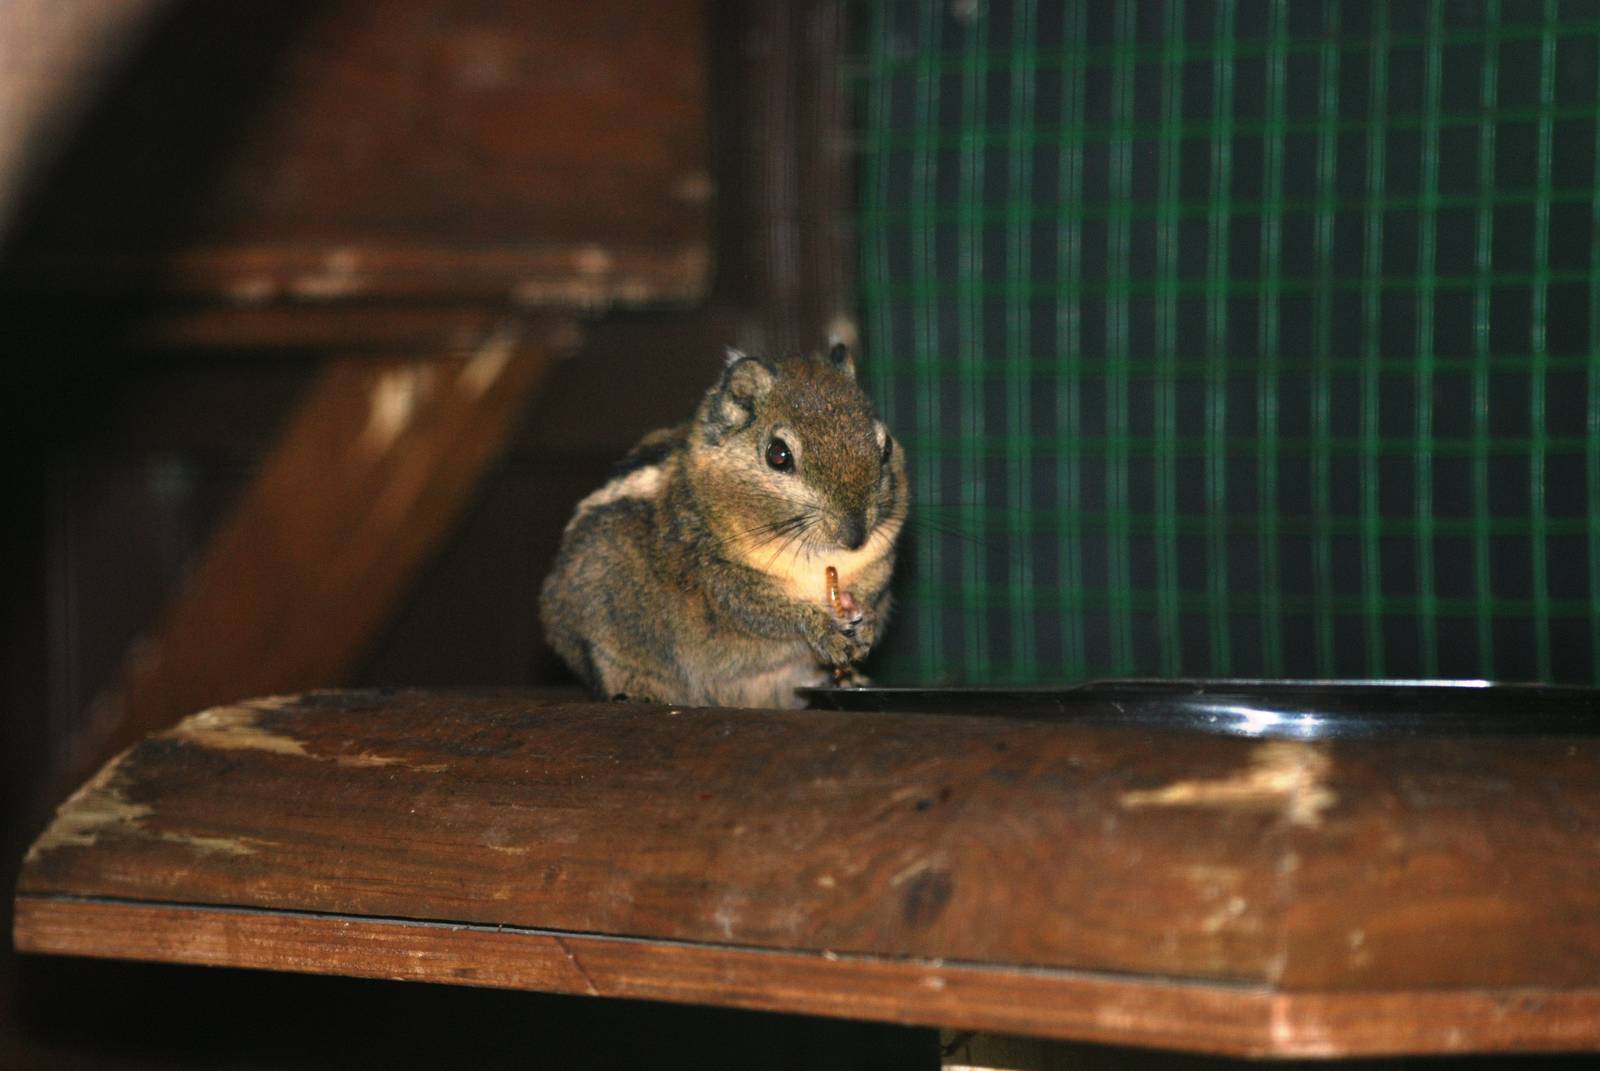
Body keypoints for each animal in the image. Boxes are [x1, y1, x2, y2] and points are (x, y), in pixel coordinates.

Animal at [539, 342, 907, 708]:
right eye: (778, 454)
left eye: (886, 446)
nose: (856, 536)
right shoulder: (716, 573)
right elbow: (764, 611)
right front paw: (822, 628)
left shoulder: (879, 560)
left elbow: (872, 586)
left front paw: (865, 622)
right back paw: (637, 693)